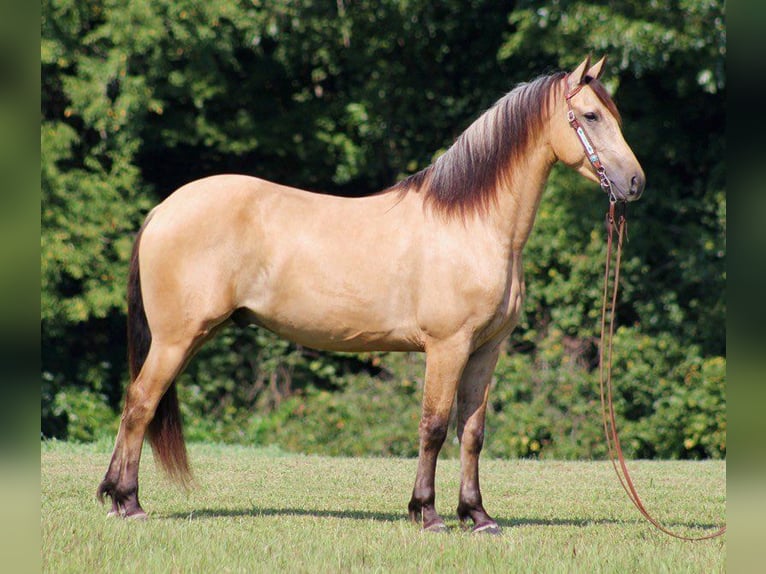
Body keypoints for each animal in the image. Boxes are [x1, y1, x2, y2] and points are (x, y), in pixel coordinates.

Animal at [97, 57, 648, 536]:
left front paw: (478, 516)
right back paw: (129, 502)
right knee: (140, 403)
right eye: (592, 116)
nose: (635, 183)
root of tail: (164, 209)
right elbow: (434, 426)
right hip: (177, 339)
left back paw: (115, 497)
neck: (474, 224)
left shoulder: (486, 350)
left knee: (136, 403)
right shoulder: (447, 347)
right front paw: (427, 513)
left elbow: (472, 432)